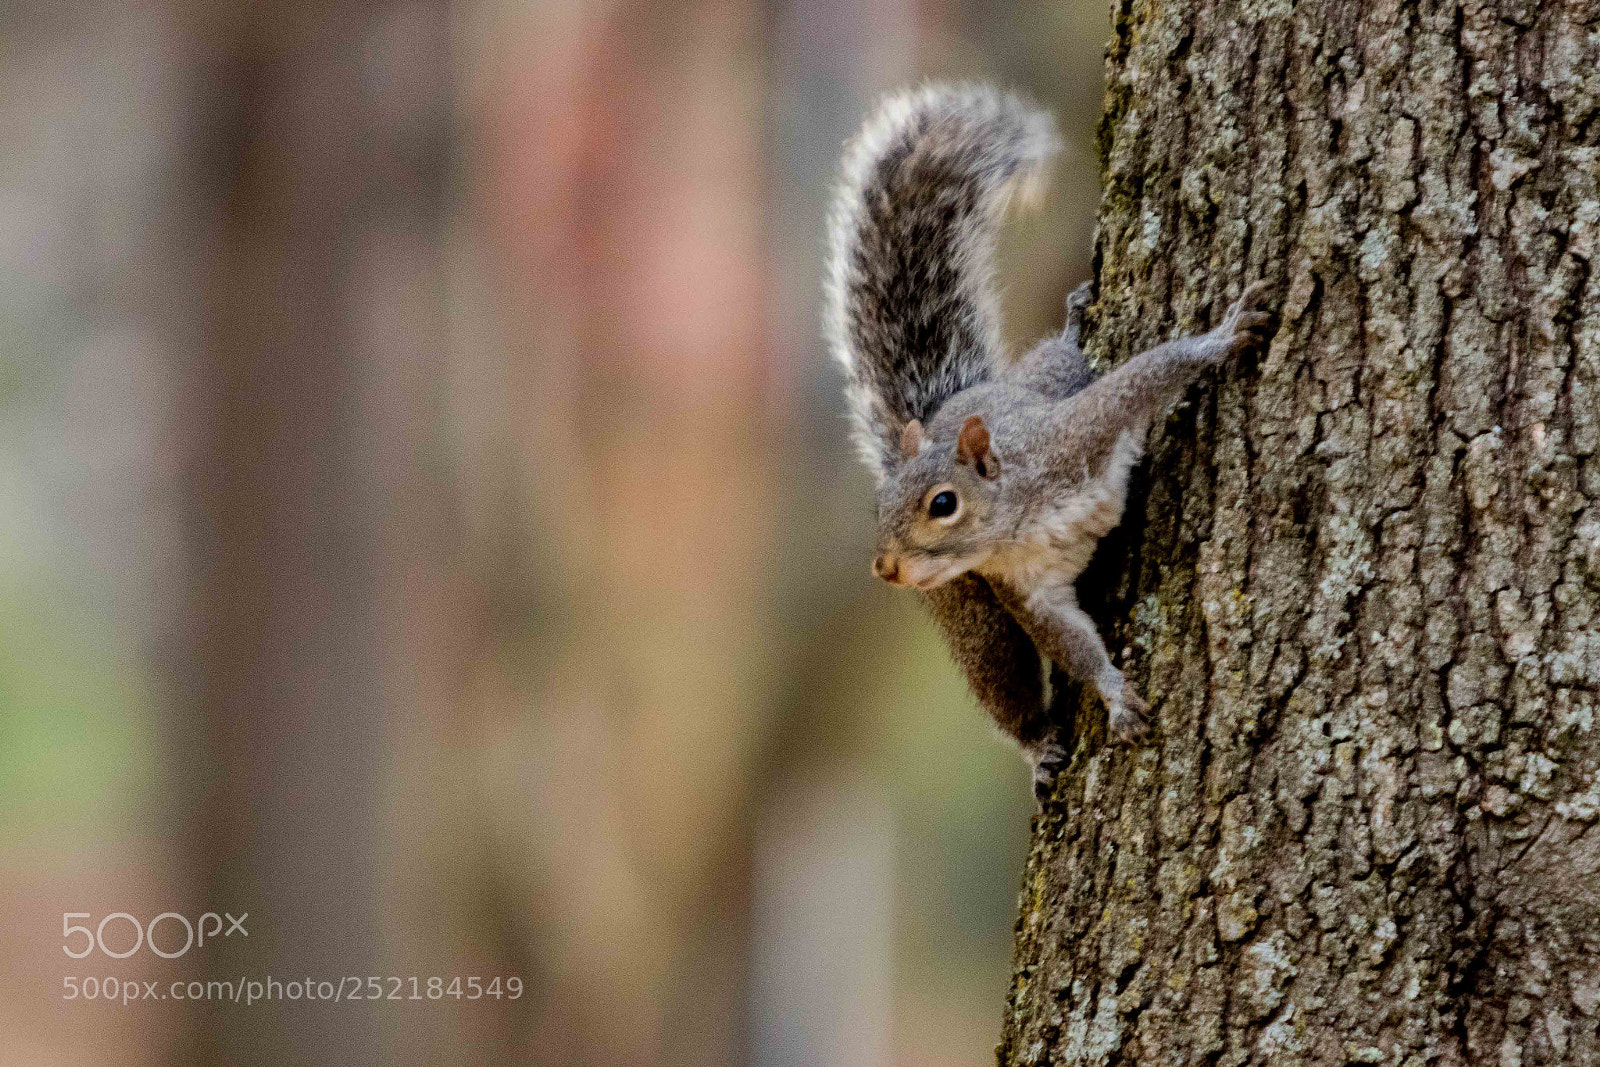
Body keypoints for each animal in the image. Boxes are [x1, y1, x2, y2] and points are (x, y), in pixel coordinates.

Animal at [824, 83, 1273, 803]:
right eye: (880, 507)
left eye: (943, 504)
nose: (884, 567)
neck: (1021, 519)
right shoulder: (1022, 590)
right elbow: (1069, 642)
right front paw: (1113, 692)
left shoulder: (1081, 429)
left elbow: (1148, 373)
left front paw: (1222, 337)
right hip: (968, 614)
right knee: (1000, 678)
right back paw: (1038, 746)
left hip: (1052, 382)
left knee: (1062, 359)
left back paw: (1073, 320)